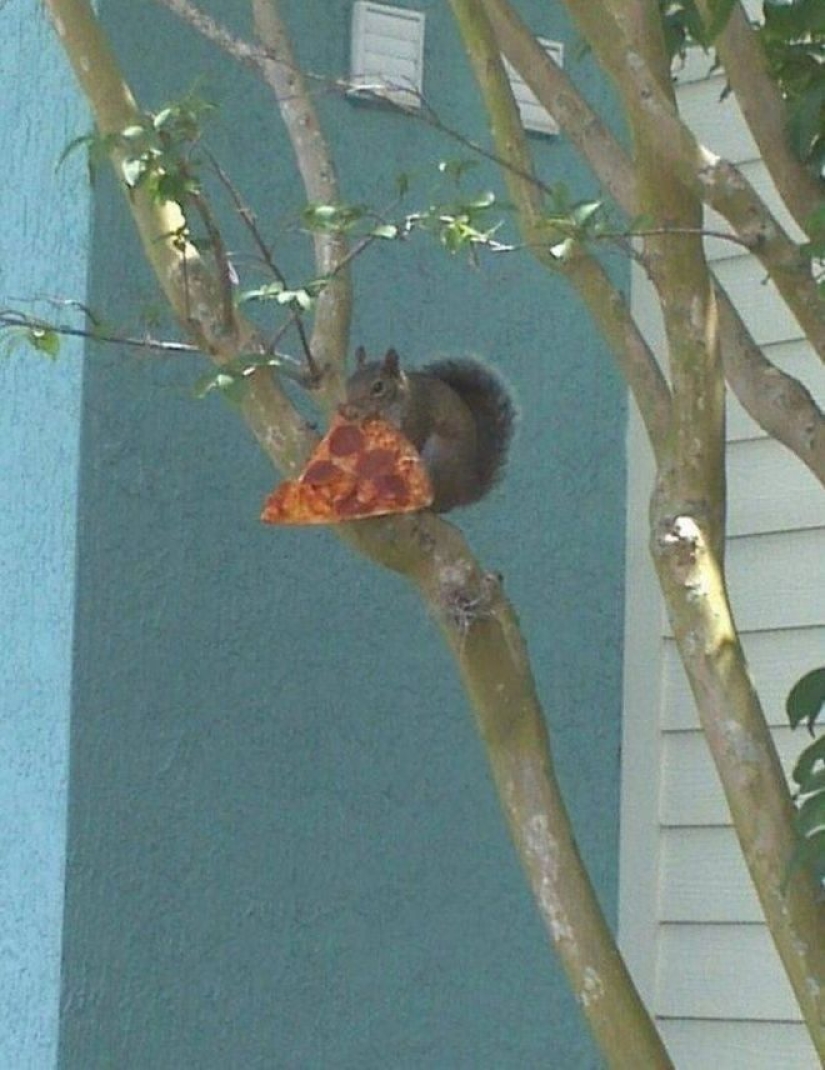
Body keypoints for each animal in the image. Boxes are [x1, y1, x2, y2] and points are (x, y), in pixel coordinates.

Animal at [344, 342, 513, 509]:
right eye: (349, 382)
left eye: (378, 387)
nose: (351, 410)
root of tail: (463, 493)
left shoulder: (417, 417)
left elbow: (412, 439)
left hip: (437, 456)